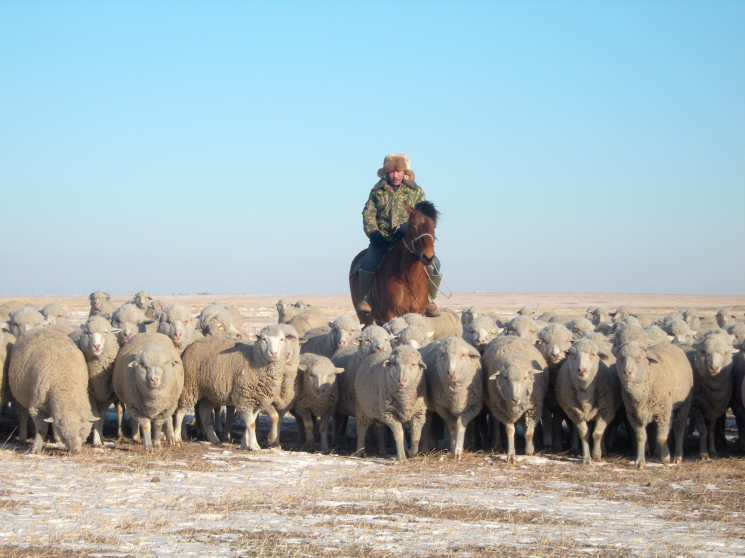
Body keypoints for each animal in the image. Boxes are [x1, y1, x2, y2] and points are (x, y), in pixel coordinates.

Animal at [8, 328, 97, 456]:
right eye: (62, 430)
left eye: (81, 429)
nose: (74, 451)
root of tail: (38, 328)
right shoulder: (37, 407)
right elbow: (41, 429)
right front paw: (36, 449)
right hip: (20, 395)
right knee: (23, 416)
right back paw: (22, 438)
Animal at [480, 336, 548, 464]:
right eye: (506, 378)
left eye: (525, 378)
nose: (515, 399)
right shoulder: (502, 411)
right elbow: (510, 430)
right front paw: (511, 455)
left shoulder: (533, 408)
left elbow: (529, 433)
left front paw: (529, 451)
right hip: (494, 406)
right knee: (494, 421)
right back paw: (497, 442)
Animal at [684, 334, 740, 462]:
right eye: (704, 352)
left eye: (724, 353)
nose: (714, 368)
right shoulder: (695, 408)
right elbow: (703, 430)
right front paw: (703, 453)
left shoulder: (715, 410)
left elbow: (710, 430)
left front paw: (713, 450)